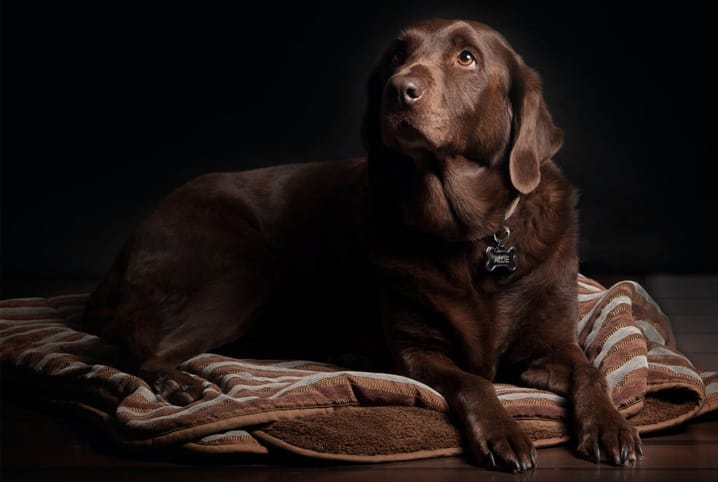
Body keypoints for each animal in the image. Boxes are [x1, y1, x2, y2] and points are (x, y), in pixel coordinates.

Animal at [81, 17, 644, 470]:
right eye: (397, 54)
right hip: (245, 274)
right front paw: (505, 431)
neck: (469, 234)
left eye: (467, 57)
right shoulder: (419, 352)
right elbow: (474, 382)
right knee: (139, 349)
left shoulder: (550, 346)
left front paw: (610, 426)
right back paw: (184, 382)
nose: (400, 89)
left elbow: (593, 372)